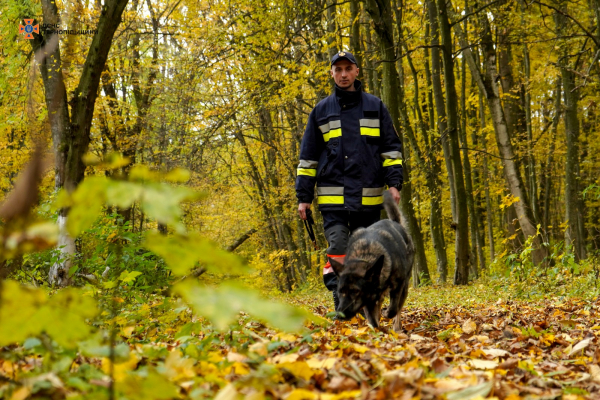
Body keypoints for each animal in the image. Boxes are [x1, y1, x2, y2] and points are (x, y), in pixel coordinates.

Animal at [328, 191, 412, 332]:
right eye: (340, 291)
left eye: (355, 291)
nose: (339, 316)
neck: (366, 254)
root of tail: (396, 223)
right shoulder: (368, 301)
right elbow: (373, 320)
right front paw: (376, 331)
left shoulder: (398, 286)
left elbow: (393, 309)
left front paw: (388, 315)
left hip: (404, 286)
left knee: (398, 309)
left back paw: (396, 327)